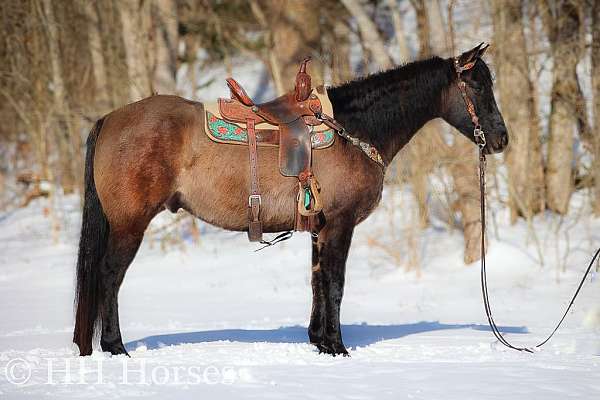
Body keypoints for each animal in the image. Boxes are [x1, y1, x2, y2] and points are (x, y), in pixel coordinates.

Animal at [74, 43, 506, 356]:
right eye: (478, 86)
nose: (501, 139)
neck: (355, 130)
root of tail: (110, 119)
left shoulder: (320, 227)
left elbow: (317, 281)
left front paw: (319, 340)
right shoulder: (340, 224)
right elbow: (335, 282)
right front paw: (337, 347)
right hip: (129, 225)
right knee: (109, 276)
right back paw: (115, 346)